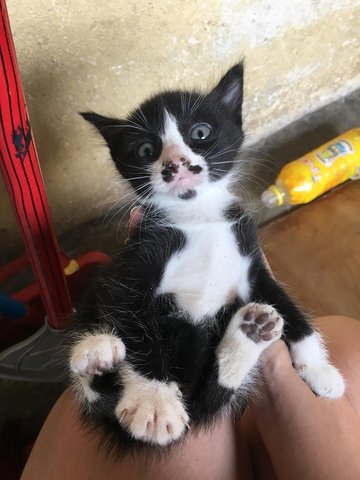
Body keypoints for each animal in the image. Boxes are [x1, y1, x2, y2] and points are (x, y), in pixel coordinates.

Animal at [68, 62, 346, 454]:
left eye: (200, 132)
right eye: (146, 150)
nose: (176, 164)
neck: (198, 216)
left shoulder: (251, 263)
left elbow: (289, 308)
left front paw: (321, 371)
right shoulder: (134, 264)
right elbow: (135, 324)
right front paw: (154, 401)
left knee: (209, 395)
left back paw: (250, 332)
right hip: (100, 291)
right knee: (109, 393)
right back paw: (96, 353)